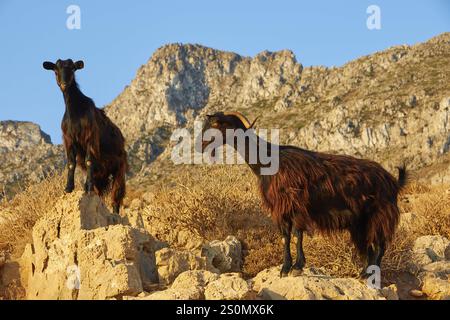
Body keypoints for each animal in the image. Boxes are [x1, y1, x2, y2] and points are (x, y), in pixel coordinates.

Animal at [42, 60, 127, 215]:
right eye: (55, 70)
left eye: (72, 69)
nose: (64, 83)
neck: (75, 111)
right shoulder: (69, 140)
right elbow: (71, 163)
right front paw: (68, 188)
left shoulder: (90, 138)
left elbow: (88, 161)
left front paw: (86, 188)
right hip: (102, 174)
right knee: (100, 192)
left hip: (119, 168)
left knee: (117, 195)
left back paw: (114, 213)